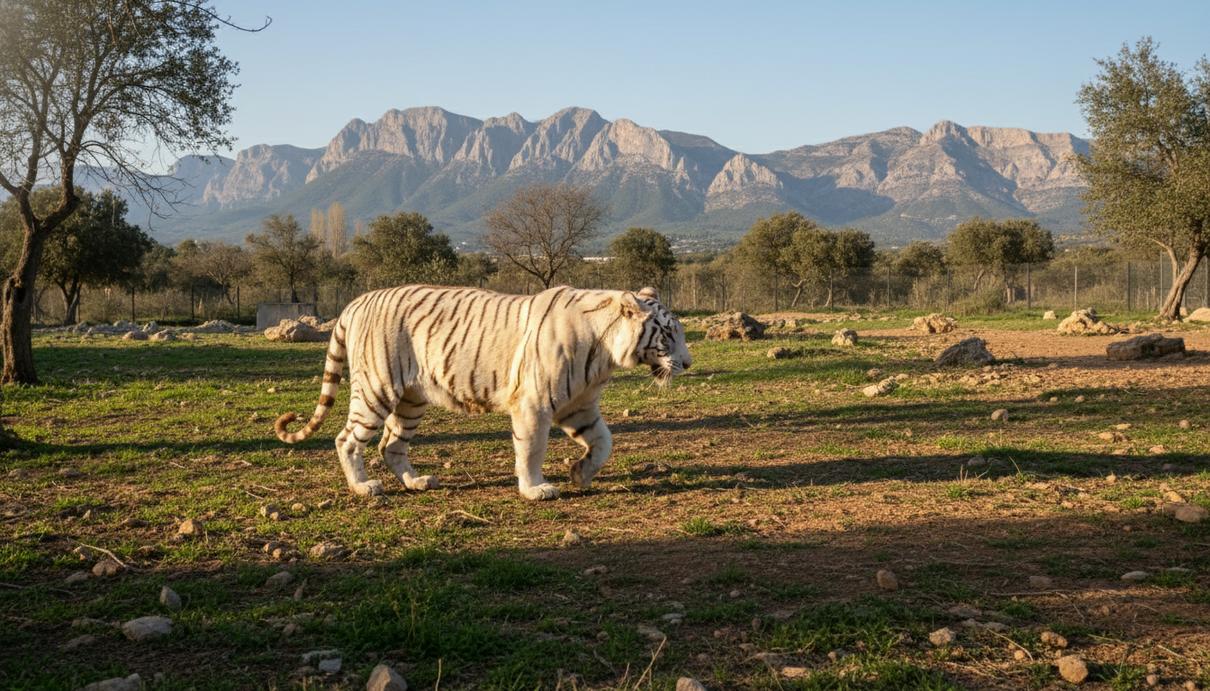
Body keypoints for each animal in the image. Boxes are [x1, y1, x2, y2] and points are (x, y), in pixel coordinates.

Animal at [274, 285, 691, 500]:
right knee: (347, 439)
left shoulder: (580, 406)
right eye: (668, 334)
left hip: (411, 400)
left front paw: (580, 474)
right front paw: (535, 488)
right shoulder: (534, 404)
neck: (605, 353)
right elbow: (531, 449)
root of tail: (357, 301)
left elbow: (605, 442)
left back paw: (417, 482)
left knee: (390, 445)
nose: (687, 364)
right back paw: (363, 487)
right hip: (377, 389)